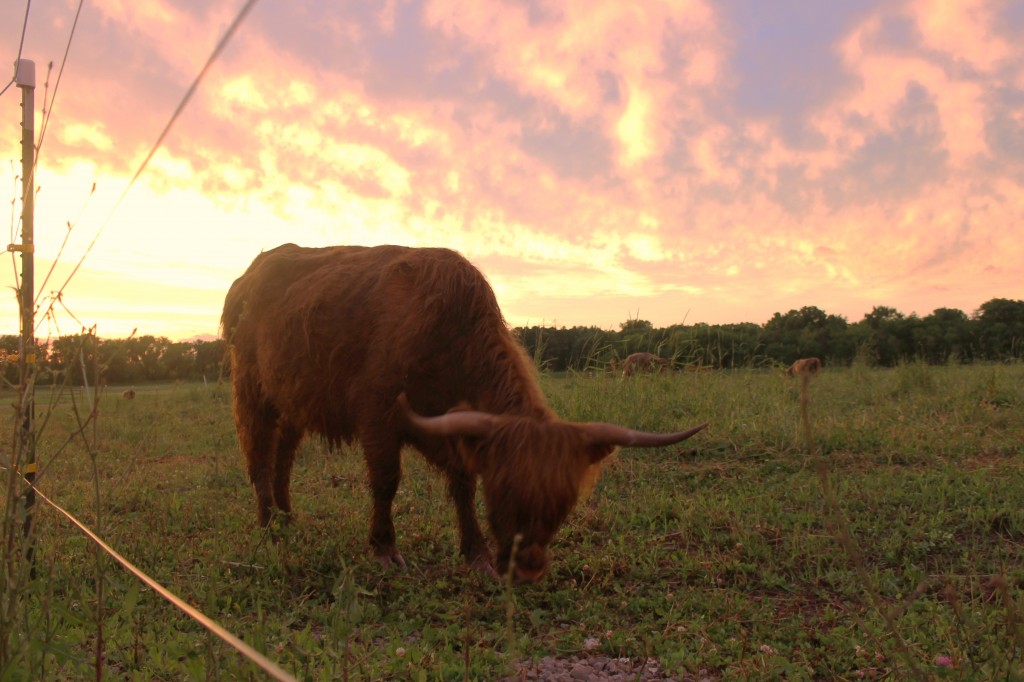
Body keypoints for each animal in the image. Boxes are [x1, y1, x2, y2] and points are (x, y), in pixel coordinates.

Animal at [221, 241, 708, 581]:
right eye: (506, 492)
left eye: (563, 503)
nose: (528, 568)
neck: (448, 335)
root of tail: (251, 271)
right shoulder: (377, 413)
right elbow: (386, 482)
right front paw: (384, 549)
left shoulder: (451, 427)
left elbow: (461, 484)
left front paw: (476, 555)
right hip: (251, 389)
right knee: (258, 455)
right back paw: (269, 526)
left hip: (293, 400)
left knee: (283, 458)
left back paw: (288, 518)